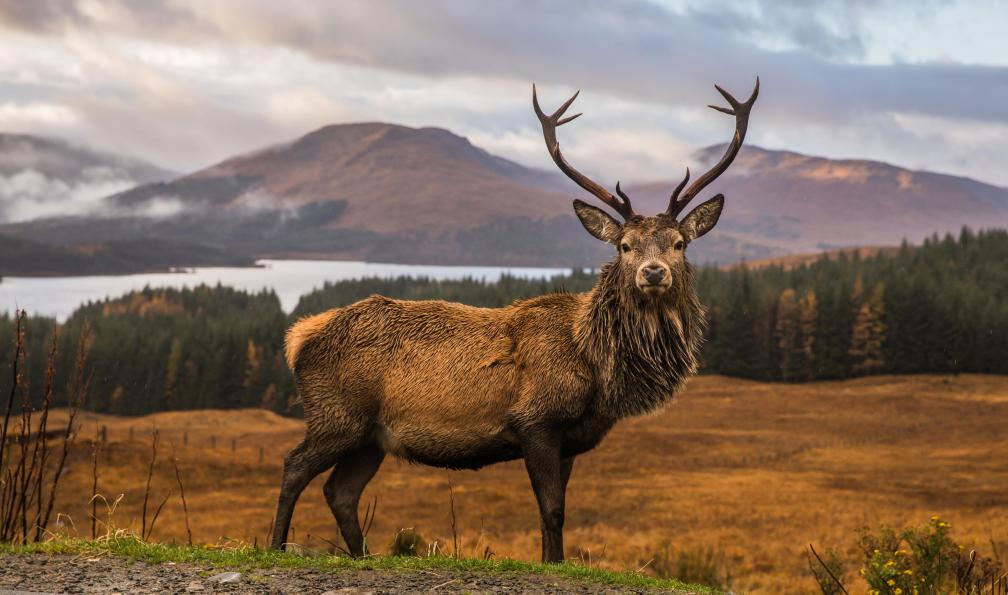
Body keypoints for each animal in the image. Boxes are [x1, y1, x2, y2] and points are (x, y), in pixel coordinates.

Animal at [271, 78, 759, 563]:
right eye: (624, 246)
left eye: (679, 243)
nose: (652, 272)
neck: (596, 366)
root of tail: (298, 337)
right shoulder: (535, 419)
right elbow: (552, 508)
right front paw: (554, 561)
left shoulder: (571, 439)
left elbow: (556, 510)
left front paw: (552, 559)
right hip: (337, 414)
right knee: (294, 466)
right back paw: (277, 545)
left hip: (371, 437)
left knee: (340, 492)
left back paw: (362, 555)